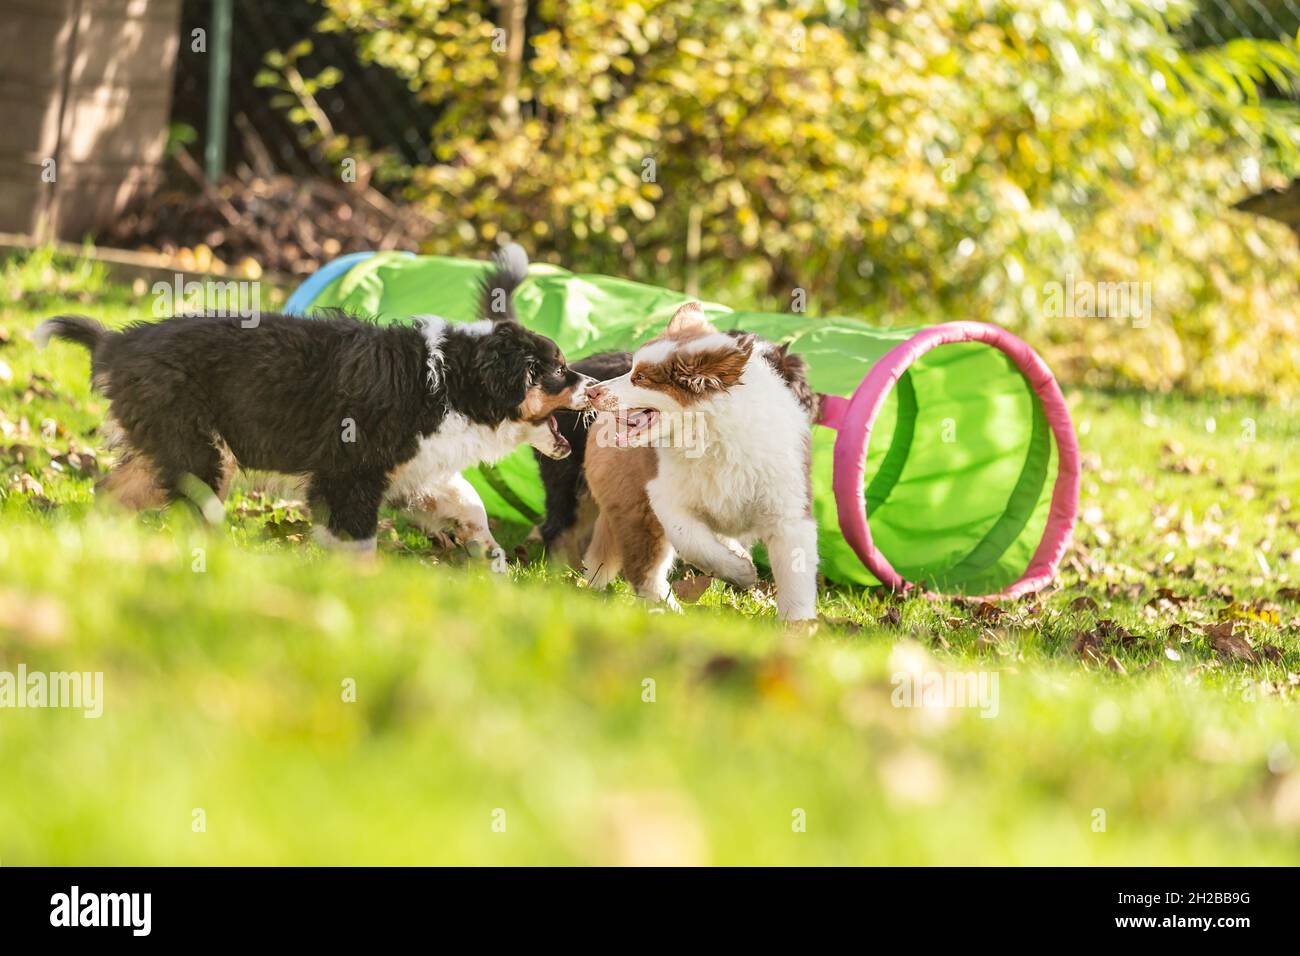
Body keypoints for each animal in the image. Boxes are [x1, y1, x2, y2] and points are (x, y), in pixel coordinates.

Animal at [572, 303, 816, 624]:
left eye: (640, 378)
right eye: (631, 370)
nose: (592, 392)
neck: (710, 436)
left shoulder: (788, 510)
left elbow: (795, 572)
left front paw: (798, 625)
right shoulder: (665, 497)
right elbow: (693, 542)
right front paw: (742, 573)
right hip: (633, 507)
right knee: (645, 571)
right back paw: (669, 612)